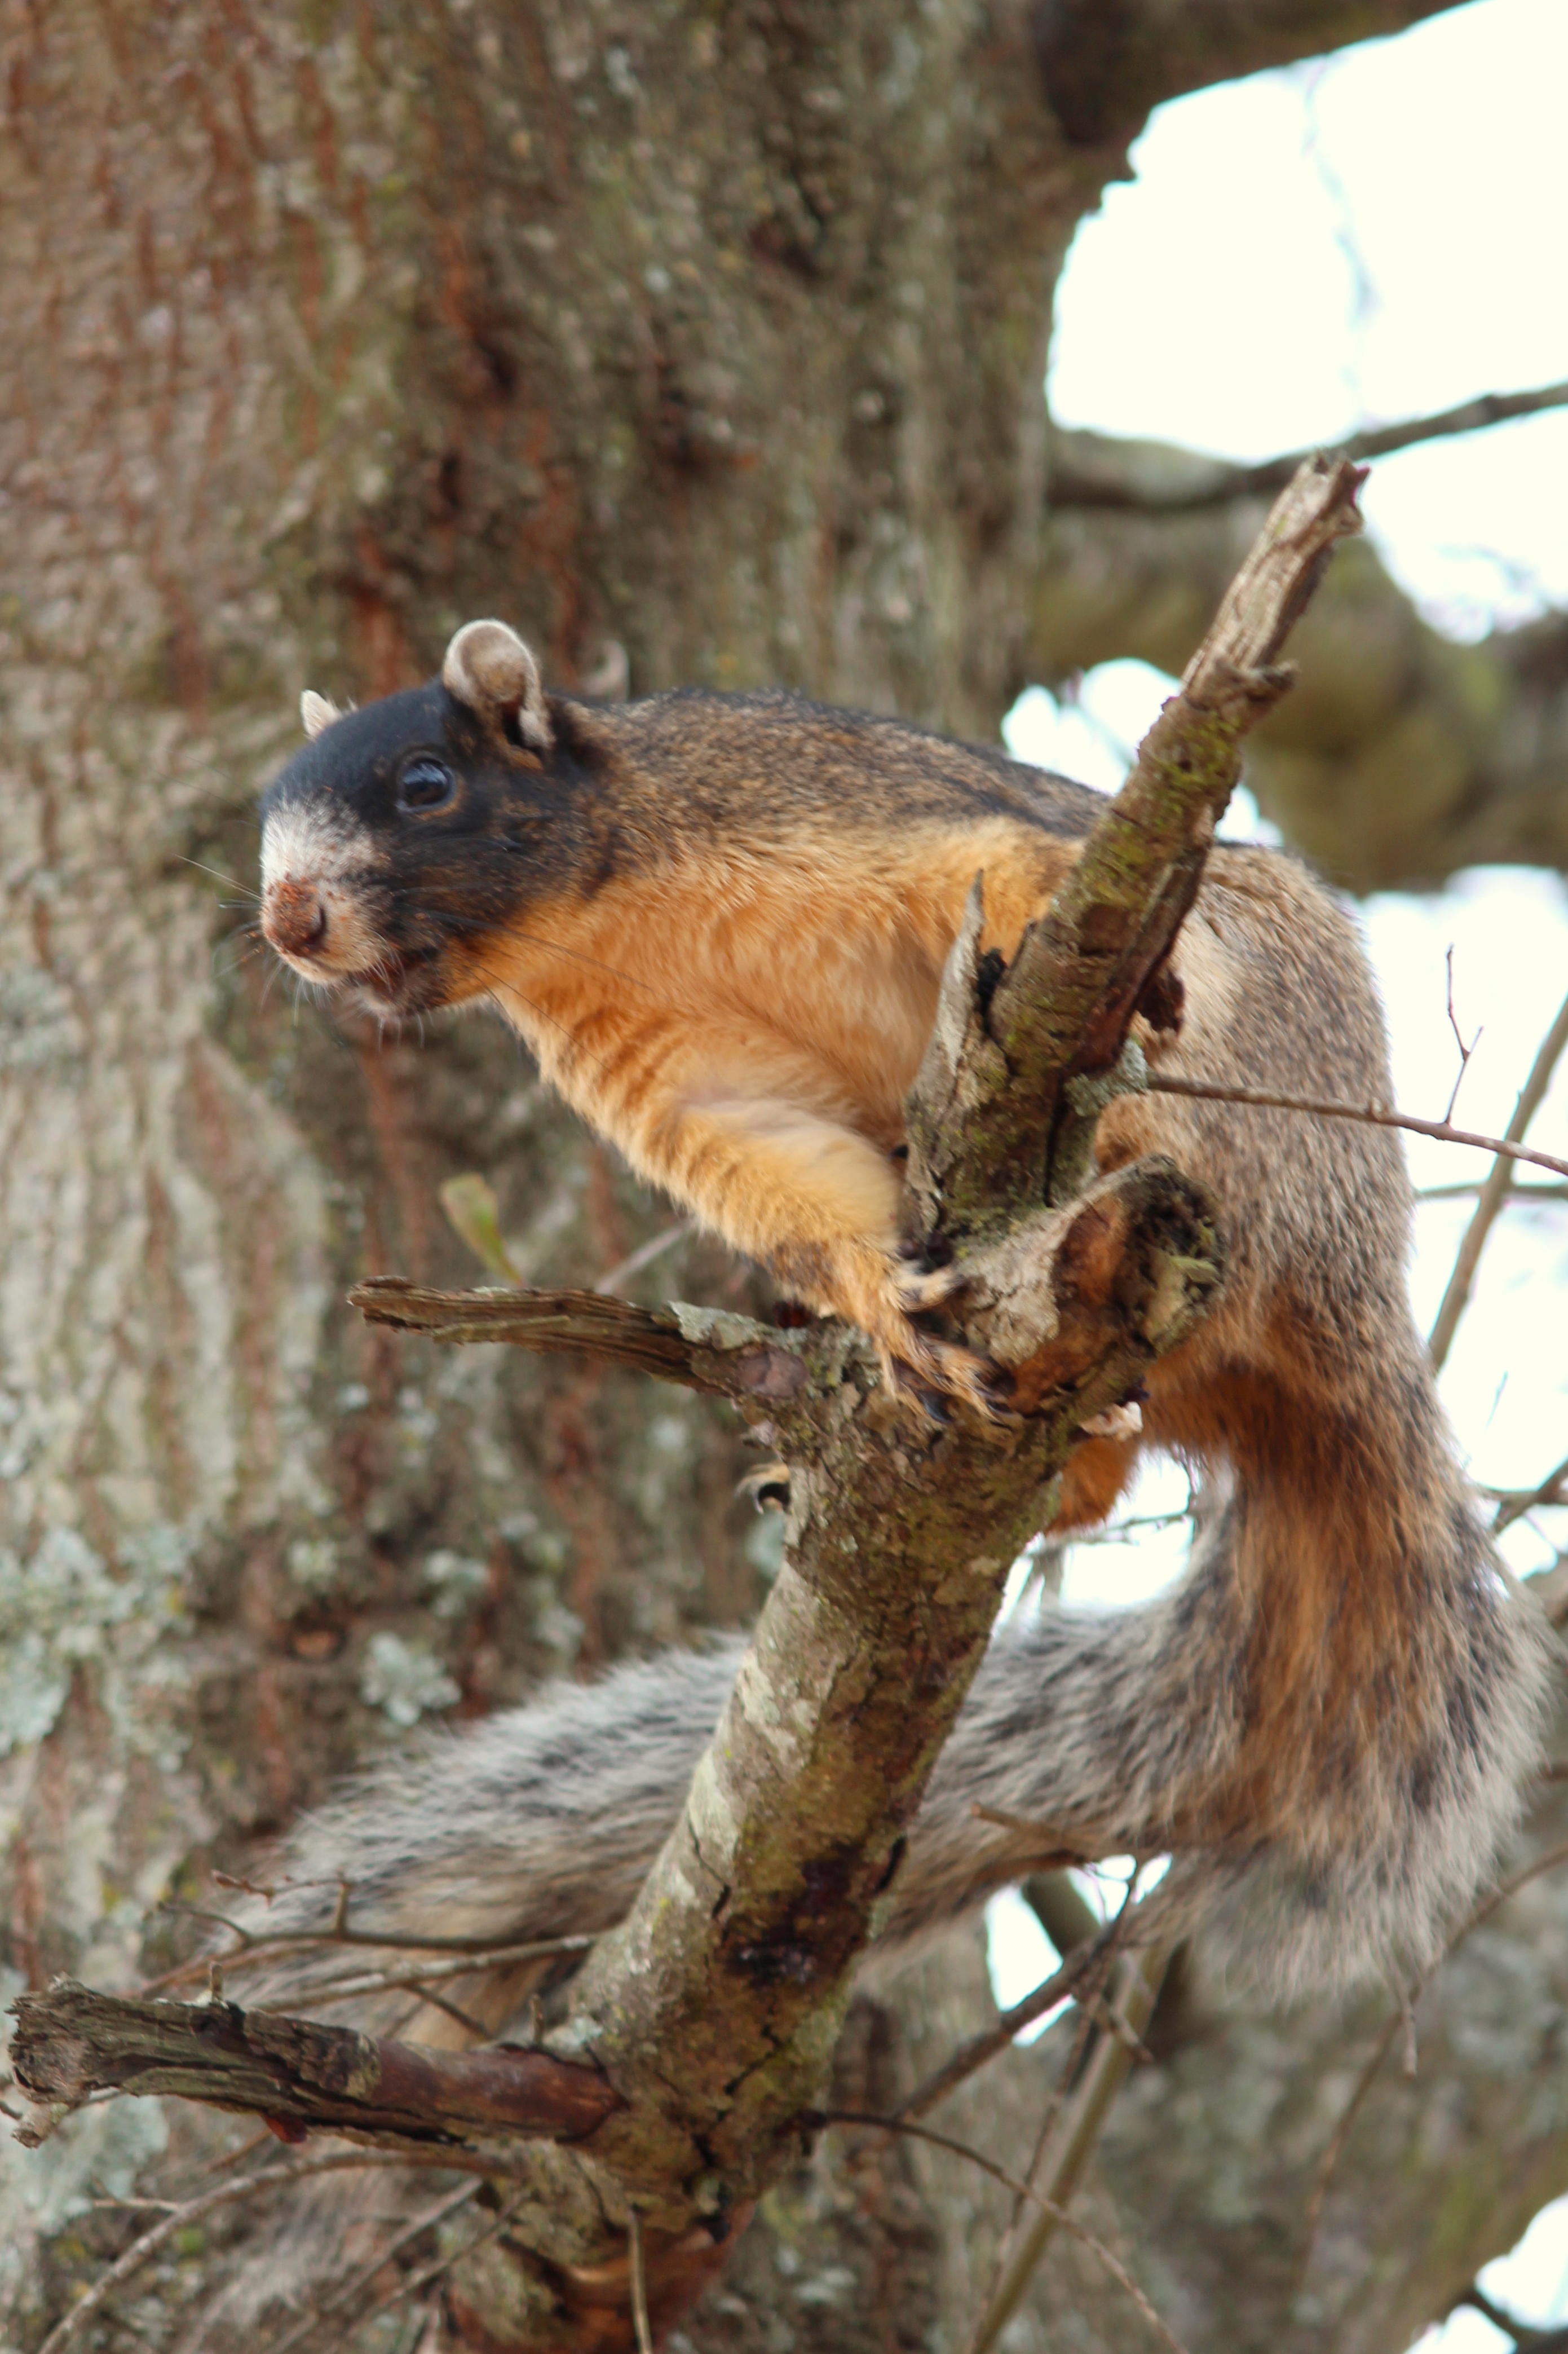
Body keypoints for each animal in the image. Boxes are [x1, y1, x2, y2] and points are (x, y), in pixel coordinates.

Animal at [250, 626, 1544, 2043]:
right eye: (264, 822)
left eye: (425, 783)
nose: (288, 920)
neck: (600, 922)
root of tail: (1357, 1316)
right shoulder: (672, 1077)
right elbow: (784, 1167)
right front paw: (885, 1303)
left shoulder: (838, 814)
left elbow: (1012, 865)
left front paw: (1087, 946)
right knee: (1103, 1456)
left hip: (1271, 1101)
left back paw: (1138, 1134)